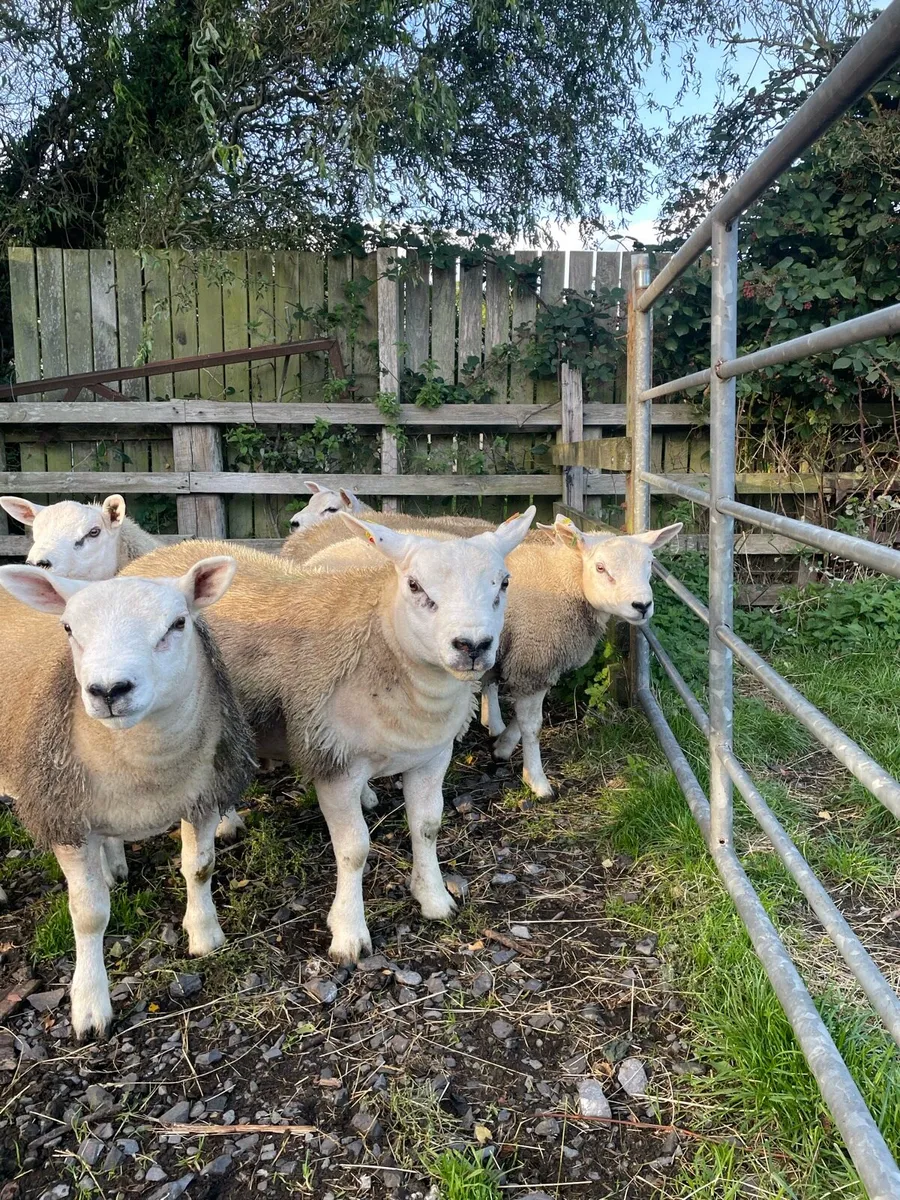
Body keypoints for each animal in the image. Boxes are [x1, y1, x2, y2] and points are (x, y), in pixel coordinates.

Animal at [0, 559, 256, 1037]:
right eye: (67, 628)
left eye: (178, 623)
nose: (108, 690)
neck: (144, 768)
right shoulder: (66, 819)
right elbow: (88, 913)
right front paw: (89, 1004)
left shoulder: (201, 795)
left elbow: (199, 868)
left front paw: (204, 935)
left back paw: (113, 866)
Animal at [120, 508, 536, 963]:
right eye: (414, 585)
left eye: (504, 582)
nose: (472, 645)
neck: (381, 641)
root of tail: (159, 555)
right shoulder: (334, 762)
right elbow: (354, 852)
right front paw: (349, 932)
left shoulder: (431, 755)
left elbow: (427, 826)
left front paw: (434, 898)